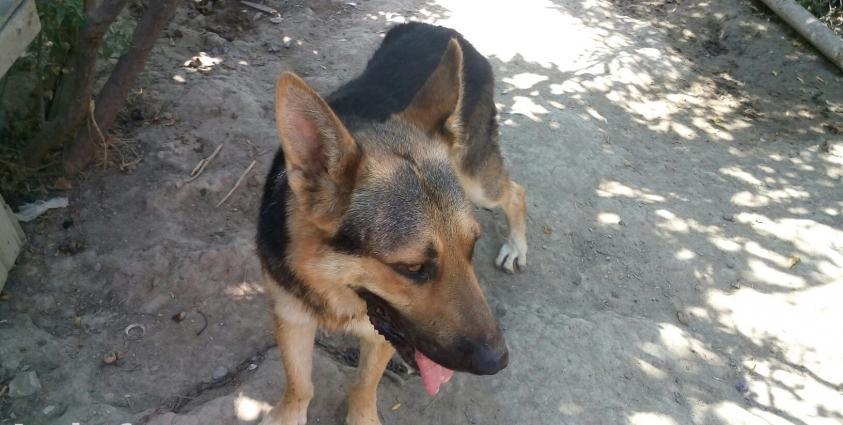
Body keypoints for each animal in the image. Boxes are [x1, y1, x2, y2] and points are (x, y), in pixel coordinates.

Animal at [256, 22, 528, 425]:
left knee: (514, 192)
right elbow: (300, 385)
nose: (498, 362)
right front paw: (288, 413)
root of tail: (437, 27)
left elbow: (364, 387)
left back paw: (517, 246)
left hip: (477, 181)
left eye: (472, 247)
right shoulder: (292, 318)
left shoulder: (383, 334)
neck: (335, 286)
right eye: (412, 267)